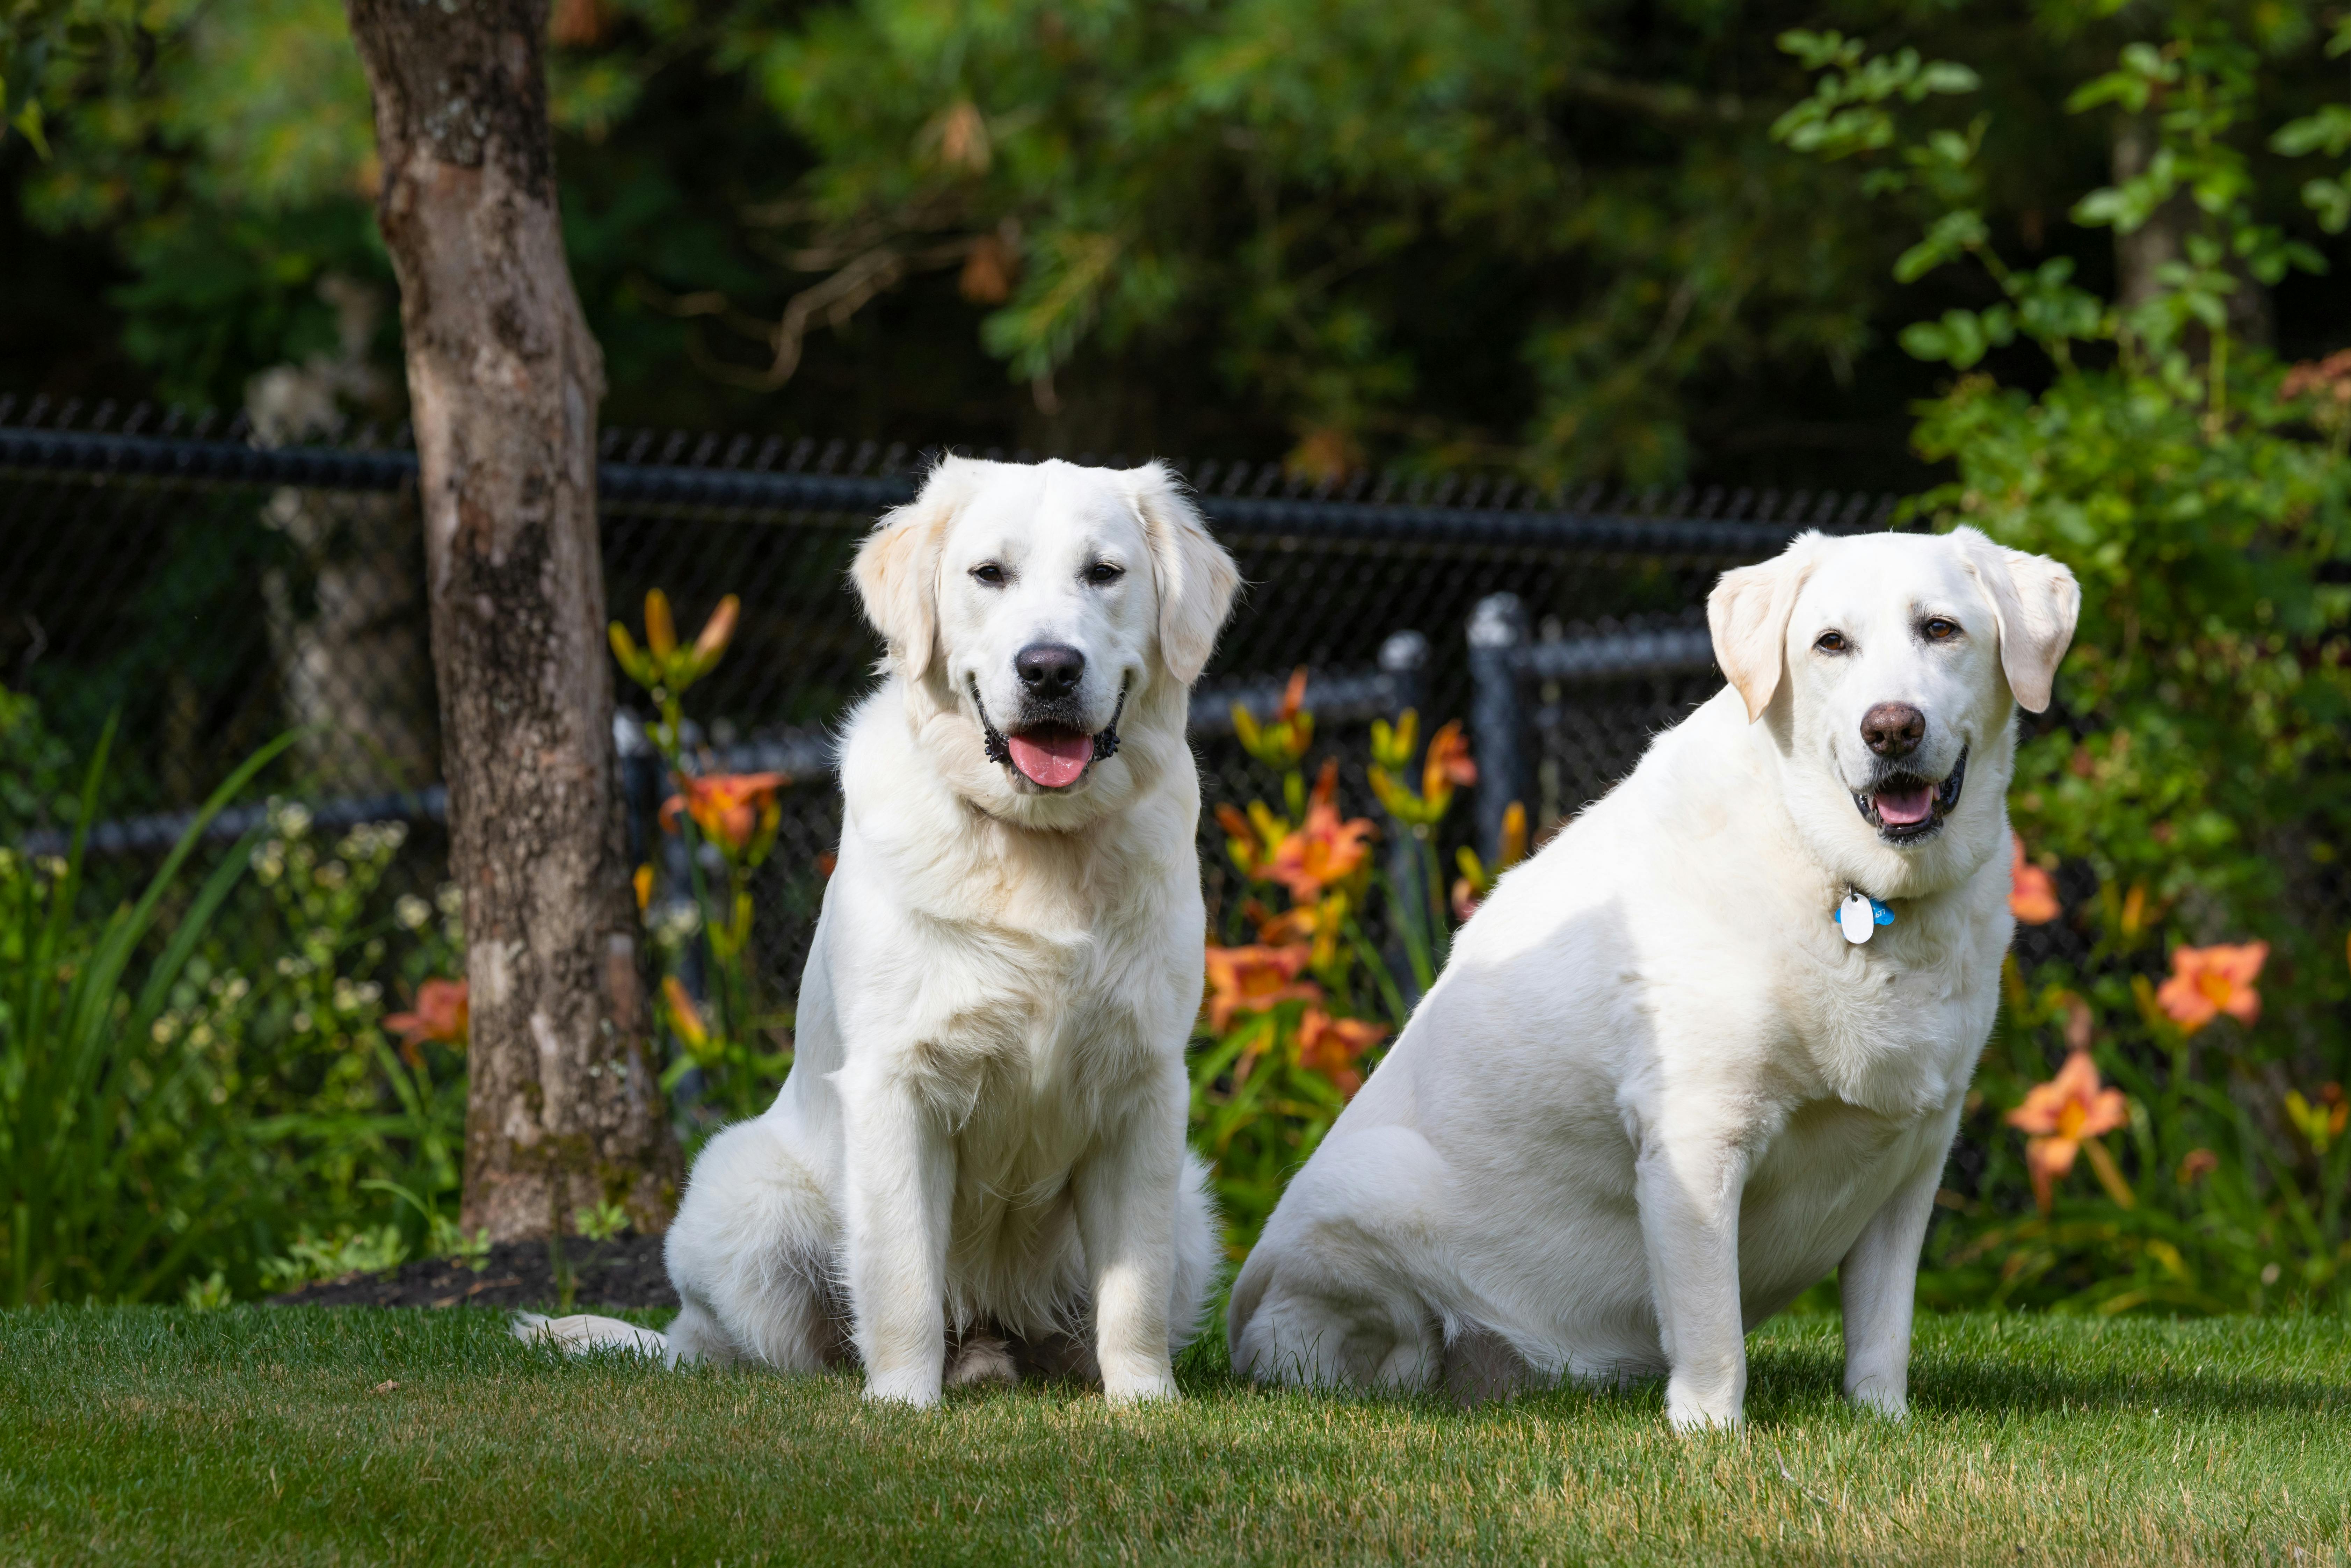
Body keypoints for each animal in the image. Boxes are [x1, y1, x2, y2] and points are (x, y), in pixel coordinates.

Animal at [524, 456, 1241, 1410]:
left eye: (1105, 573)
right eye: (988, 574)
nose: (1049, 668)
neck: (1036, 849)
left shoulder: (1146, 1093)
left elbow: (1135, 1289)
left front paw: (1145, 1403)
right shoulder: (897, 1084)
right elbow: (902, 1274)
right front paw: (903, 1403)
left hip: (1194, 1204)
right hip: (739, 1196)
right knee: (779, 1349)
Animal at [1232, 522, 2078, 1429]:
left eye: (1940, 629)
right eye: (1830, 643)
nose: (1891, 728)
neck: (1847, 882)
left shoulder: (1912, 1158)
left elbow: (1882, 1331)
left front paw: (1880, 1423)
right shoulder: (1697, 1138)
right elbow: (1713, 1326)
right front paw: (1709, 1432)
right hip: (1360, 1196)